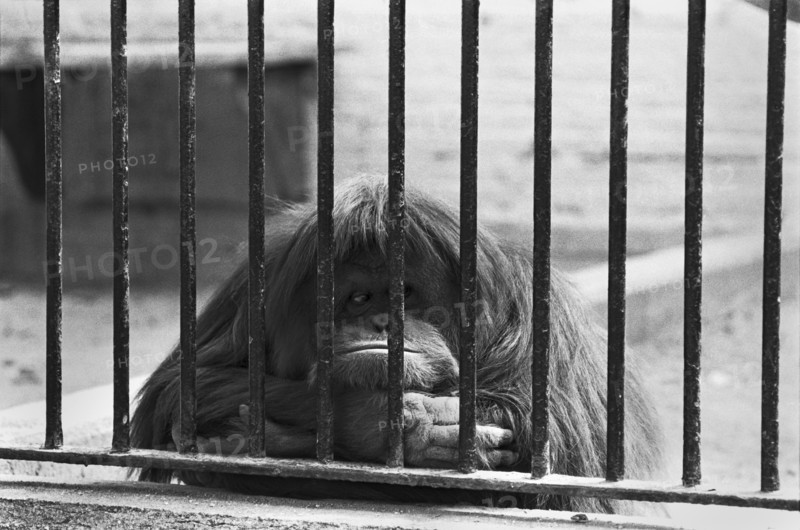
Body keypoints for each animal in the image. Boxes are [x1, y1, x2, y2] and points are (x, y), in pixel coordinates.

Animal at [131, 175, 664, 513]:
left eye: (405, 292)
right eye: (359, 297)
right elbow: (178, 388)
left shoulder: (533, 302)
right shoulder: (254, 287)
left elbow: (557, 445)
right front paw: (402, 425)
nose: (383, 320)